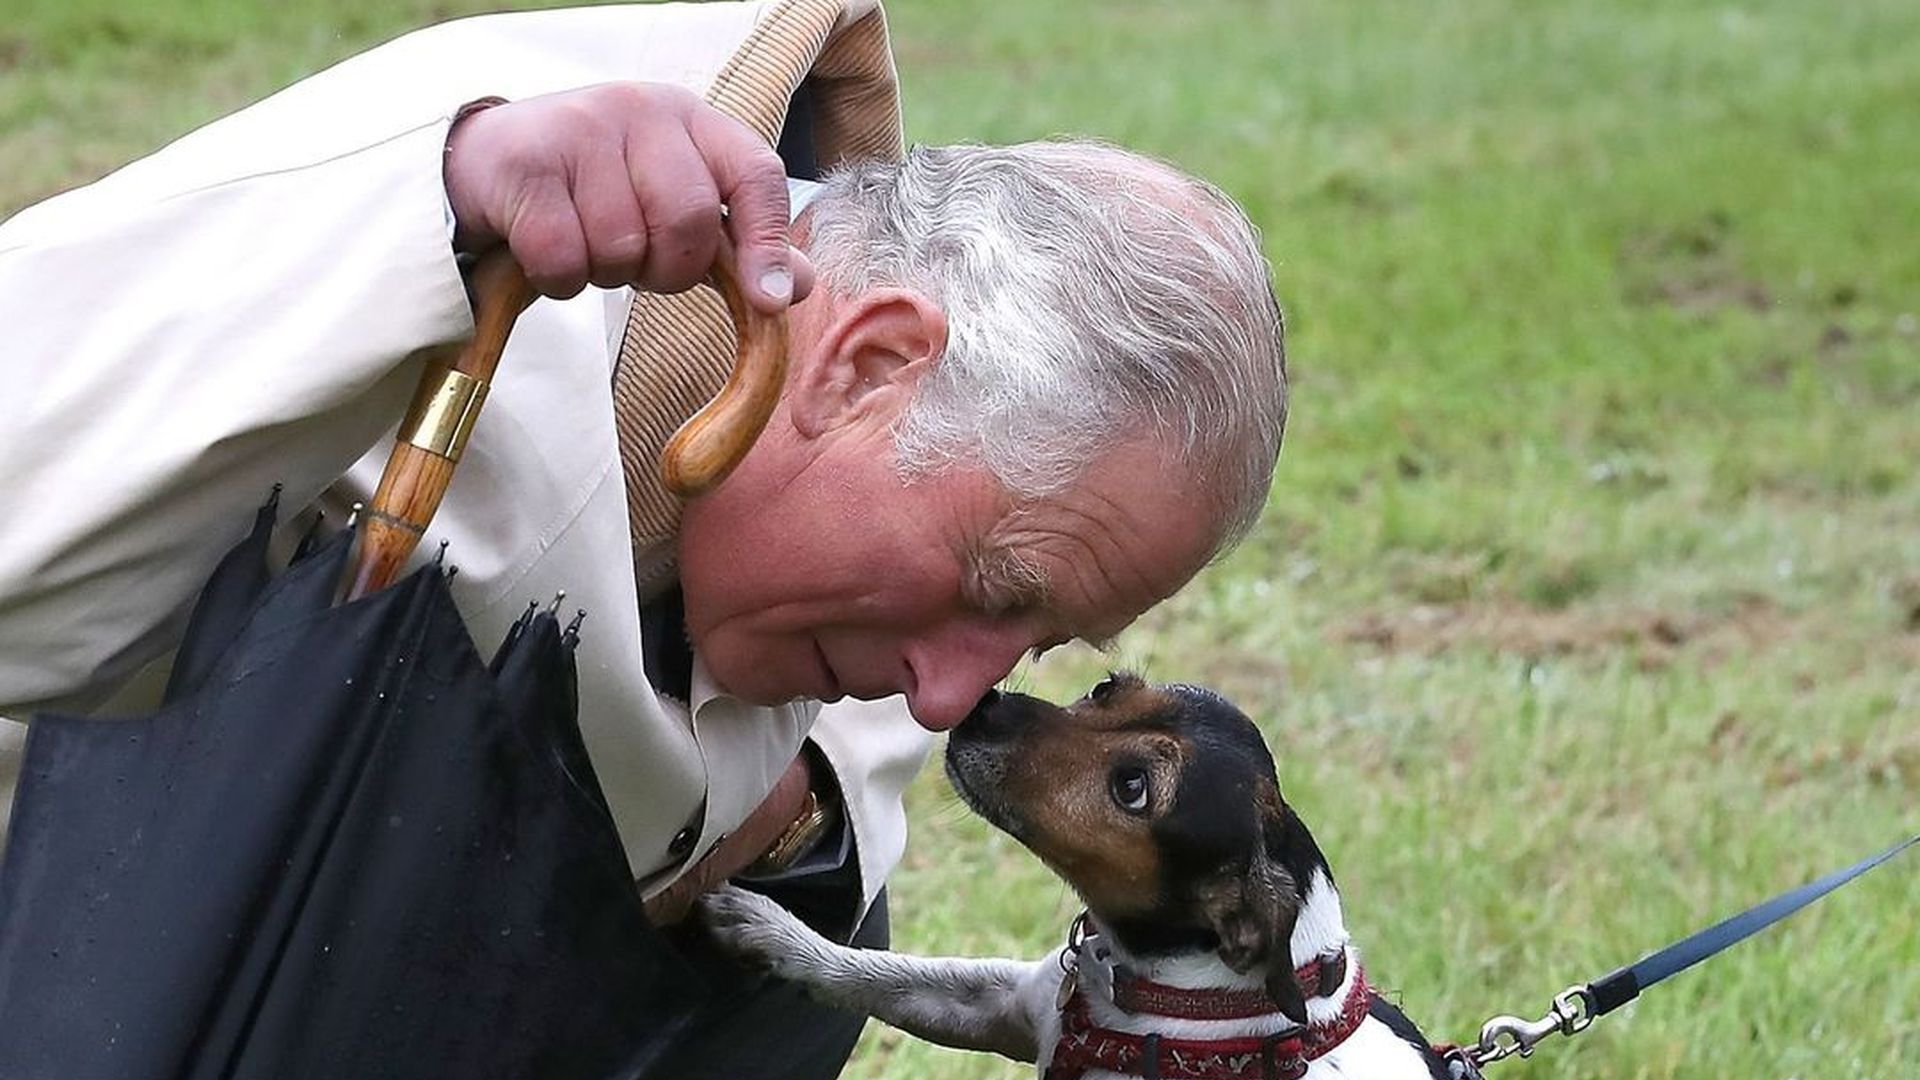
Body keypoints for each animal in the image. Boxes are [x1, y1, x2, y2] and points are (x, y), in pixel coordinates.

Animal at [714, 668, 1443, 1068]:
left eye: (1132, 787)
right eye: (1105, 688)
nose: (980, 707)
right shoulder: (998, 1006)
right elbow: (869, 974)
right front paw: (766, 929)